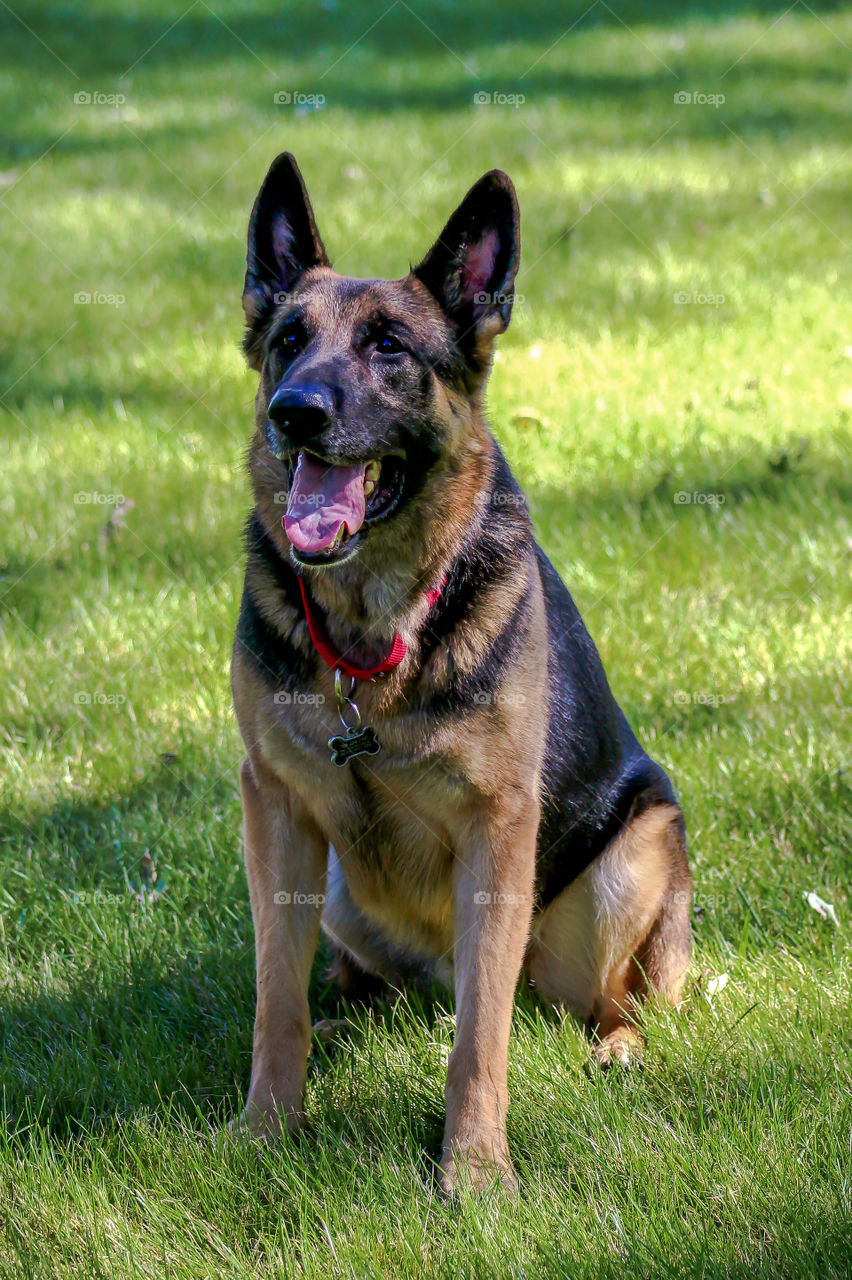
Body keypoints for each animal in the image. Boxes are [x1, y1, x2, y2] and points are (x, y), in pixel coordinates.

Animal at [230, 154, 690, 1192]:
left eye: (390, 348)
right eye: (288, 341)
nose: (294, 414)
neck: (373, 630)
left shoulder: (498, 826)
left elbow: (481, 1039)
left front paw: (475, 1171)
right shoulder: (274, 805)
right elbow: (277, 1003)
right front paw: (266, 1129)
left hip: (632, 861)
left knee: (596, 1001)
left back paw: (615, 1046)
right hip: (338, 891)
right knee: (367, 980)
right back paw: (353, 1009)